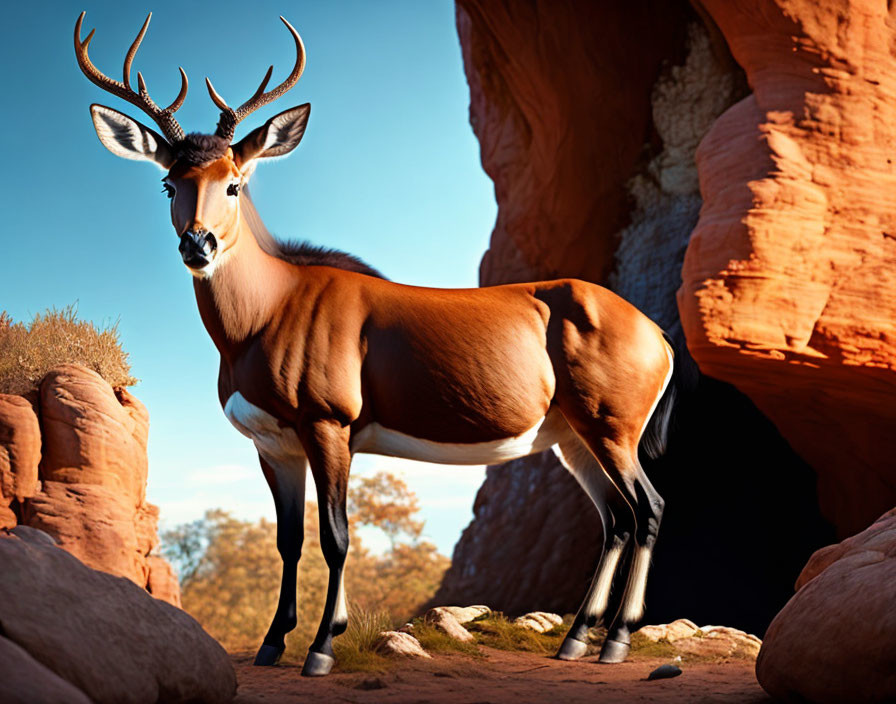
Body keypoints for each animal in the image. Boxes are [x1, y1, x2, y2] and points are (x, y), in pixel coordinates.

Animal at [77, 13, 676, 680]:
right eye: (167, 182)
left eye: (233, 183)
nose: (198, 245)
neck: (266, 315)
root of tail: (657, 334)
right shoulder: (272, 445)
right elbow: (288, 540)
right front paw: (272, 643)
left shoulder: (329, 425)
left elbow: (336, 535)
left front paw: (321, 649)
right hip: (573, 438)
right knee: (615, 519)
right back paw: (575, 640)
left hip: (611, 426)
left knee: (648, 507)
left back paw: (616, 641)